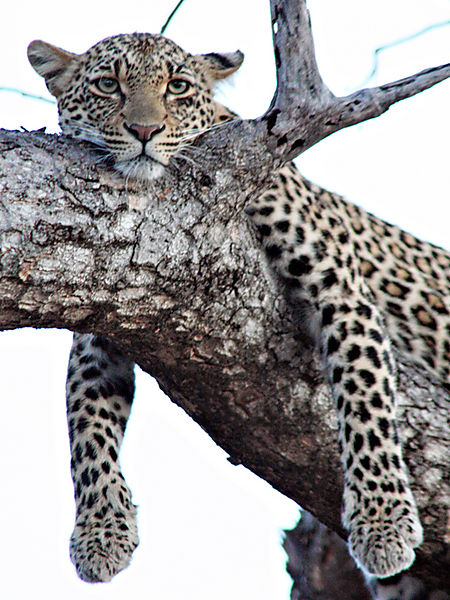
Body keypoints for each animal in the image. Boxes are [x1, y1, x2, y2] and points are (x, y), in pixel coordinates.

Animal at [26, 34, 448, 600]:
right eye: (108, 85)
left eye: (177, 87)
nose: (144, 132)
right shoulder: (106, 317)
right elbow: (86, 423)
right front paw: (100, 532)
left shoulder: (341, 287)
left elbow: (366, 401)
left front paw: (383, 524)